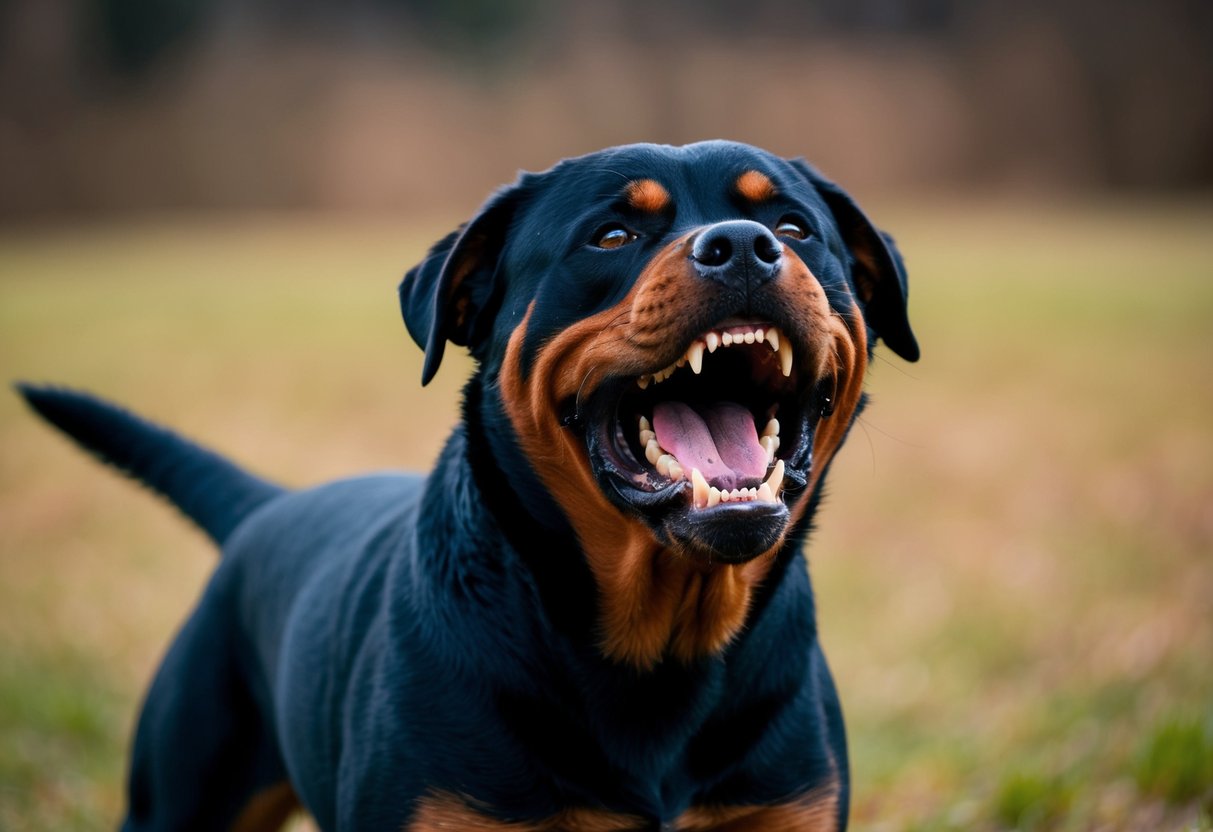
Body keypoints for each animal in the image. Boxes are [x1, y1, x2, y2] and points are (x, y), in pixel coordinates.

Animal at [18, 140, 912, 829]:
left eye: (794, 227)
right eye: (611, 235)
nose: (743, 243)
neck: (660, 645)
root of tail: (267, 507)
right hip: (180, 790)